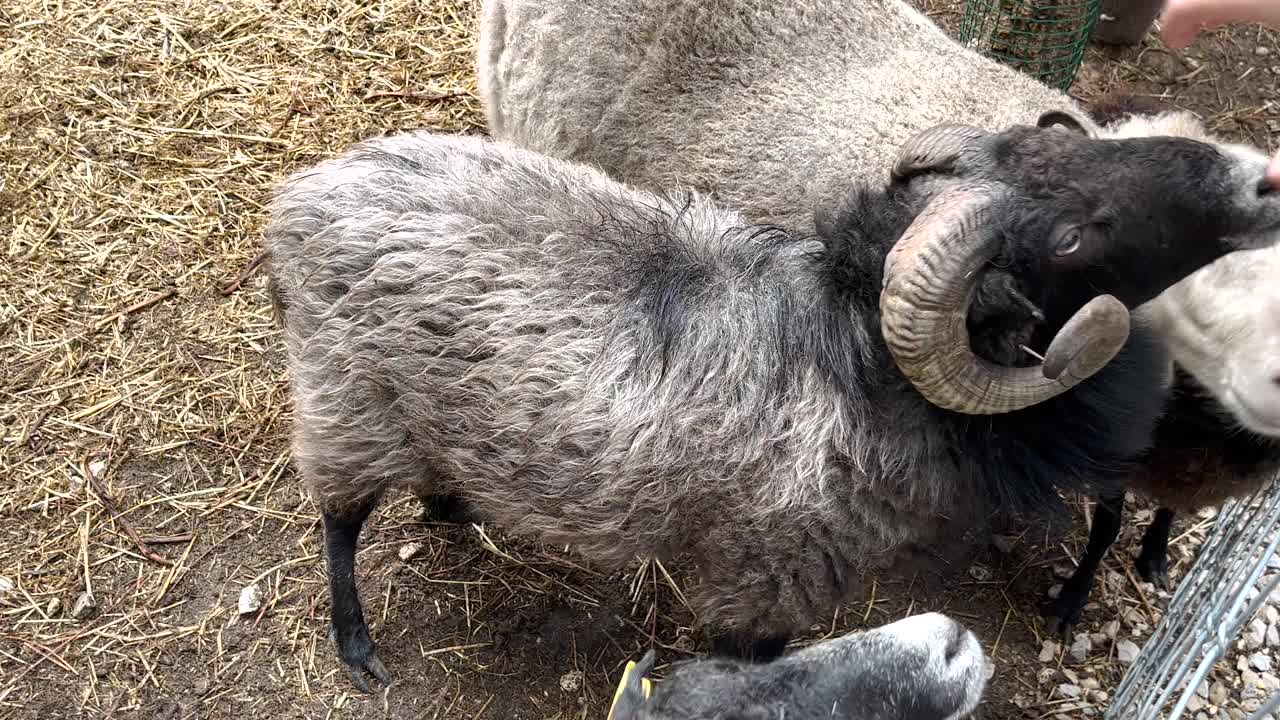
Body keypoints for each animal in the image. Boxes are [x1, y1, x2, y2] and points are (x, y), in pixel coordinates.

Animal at [264, 124, 1280, 691]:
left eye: (1079, 150)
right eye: (1073, 236)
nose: (1260, 180)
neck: (859, 358)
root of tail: (298, 199)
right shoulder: (769, 577)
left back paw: (450, 501)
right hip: (342, 400)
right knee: (338, 521)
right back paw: (357, 646)